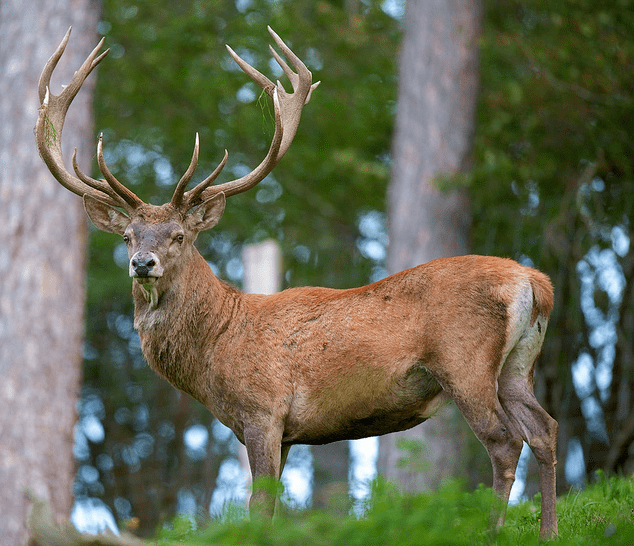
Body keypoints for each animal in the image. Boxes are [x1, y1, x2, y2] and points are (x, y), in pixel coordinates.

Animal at [35, 27, 552, 536]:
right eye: (127, 236)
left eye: (179, 236)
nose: (143, 263)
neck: (218, 344)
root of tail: (534, 281)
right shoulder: (282, 432)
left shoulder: (264, 411)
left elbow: (258, 507)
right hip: (517, 367)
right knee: (544, 430)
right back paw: (548, 531)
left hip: (465, 362)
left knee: (505, 442)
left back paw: (493, 532)